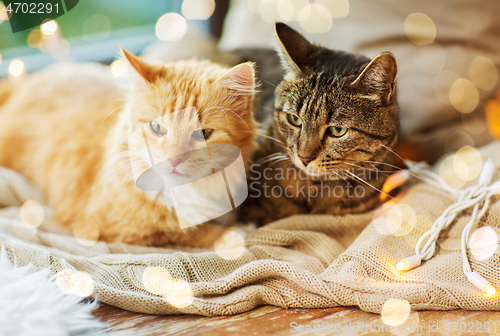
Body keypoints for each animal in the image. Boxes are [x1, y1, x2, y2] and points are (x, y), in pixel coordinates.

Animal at [0, 49, 258, 247]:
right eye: (157, 127)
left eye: (202, 134)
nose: (174, 159)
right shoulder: (101, 227)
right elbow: (182, 232)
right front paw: (235, 233)